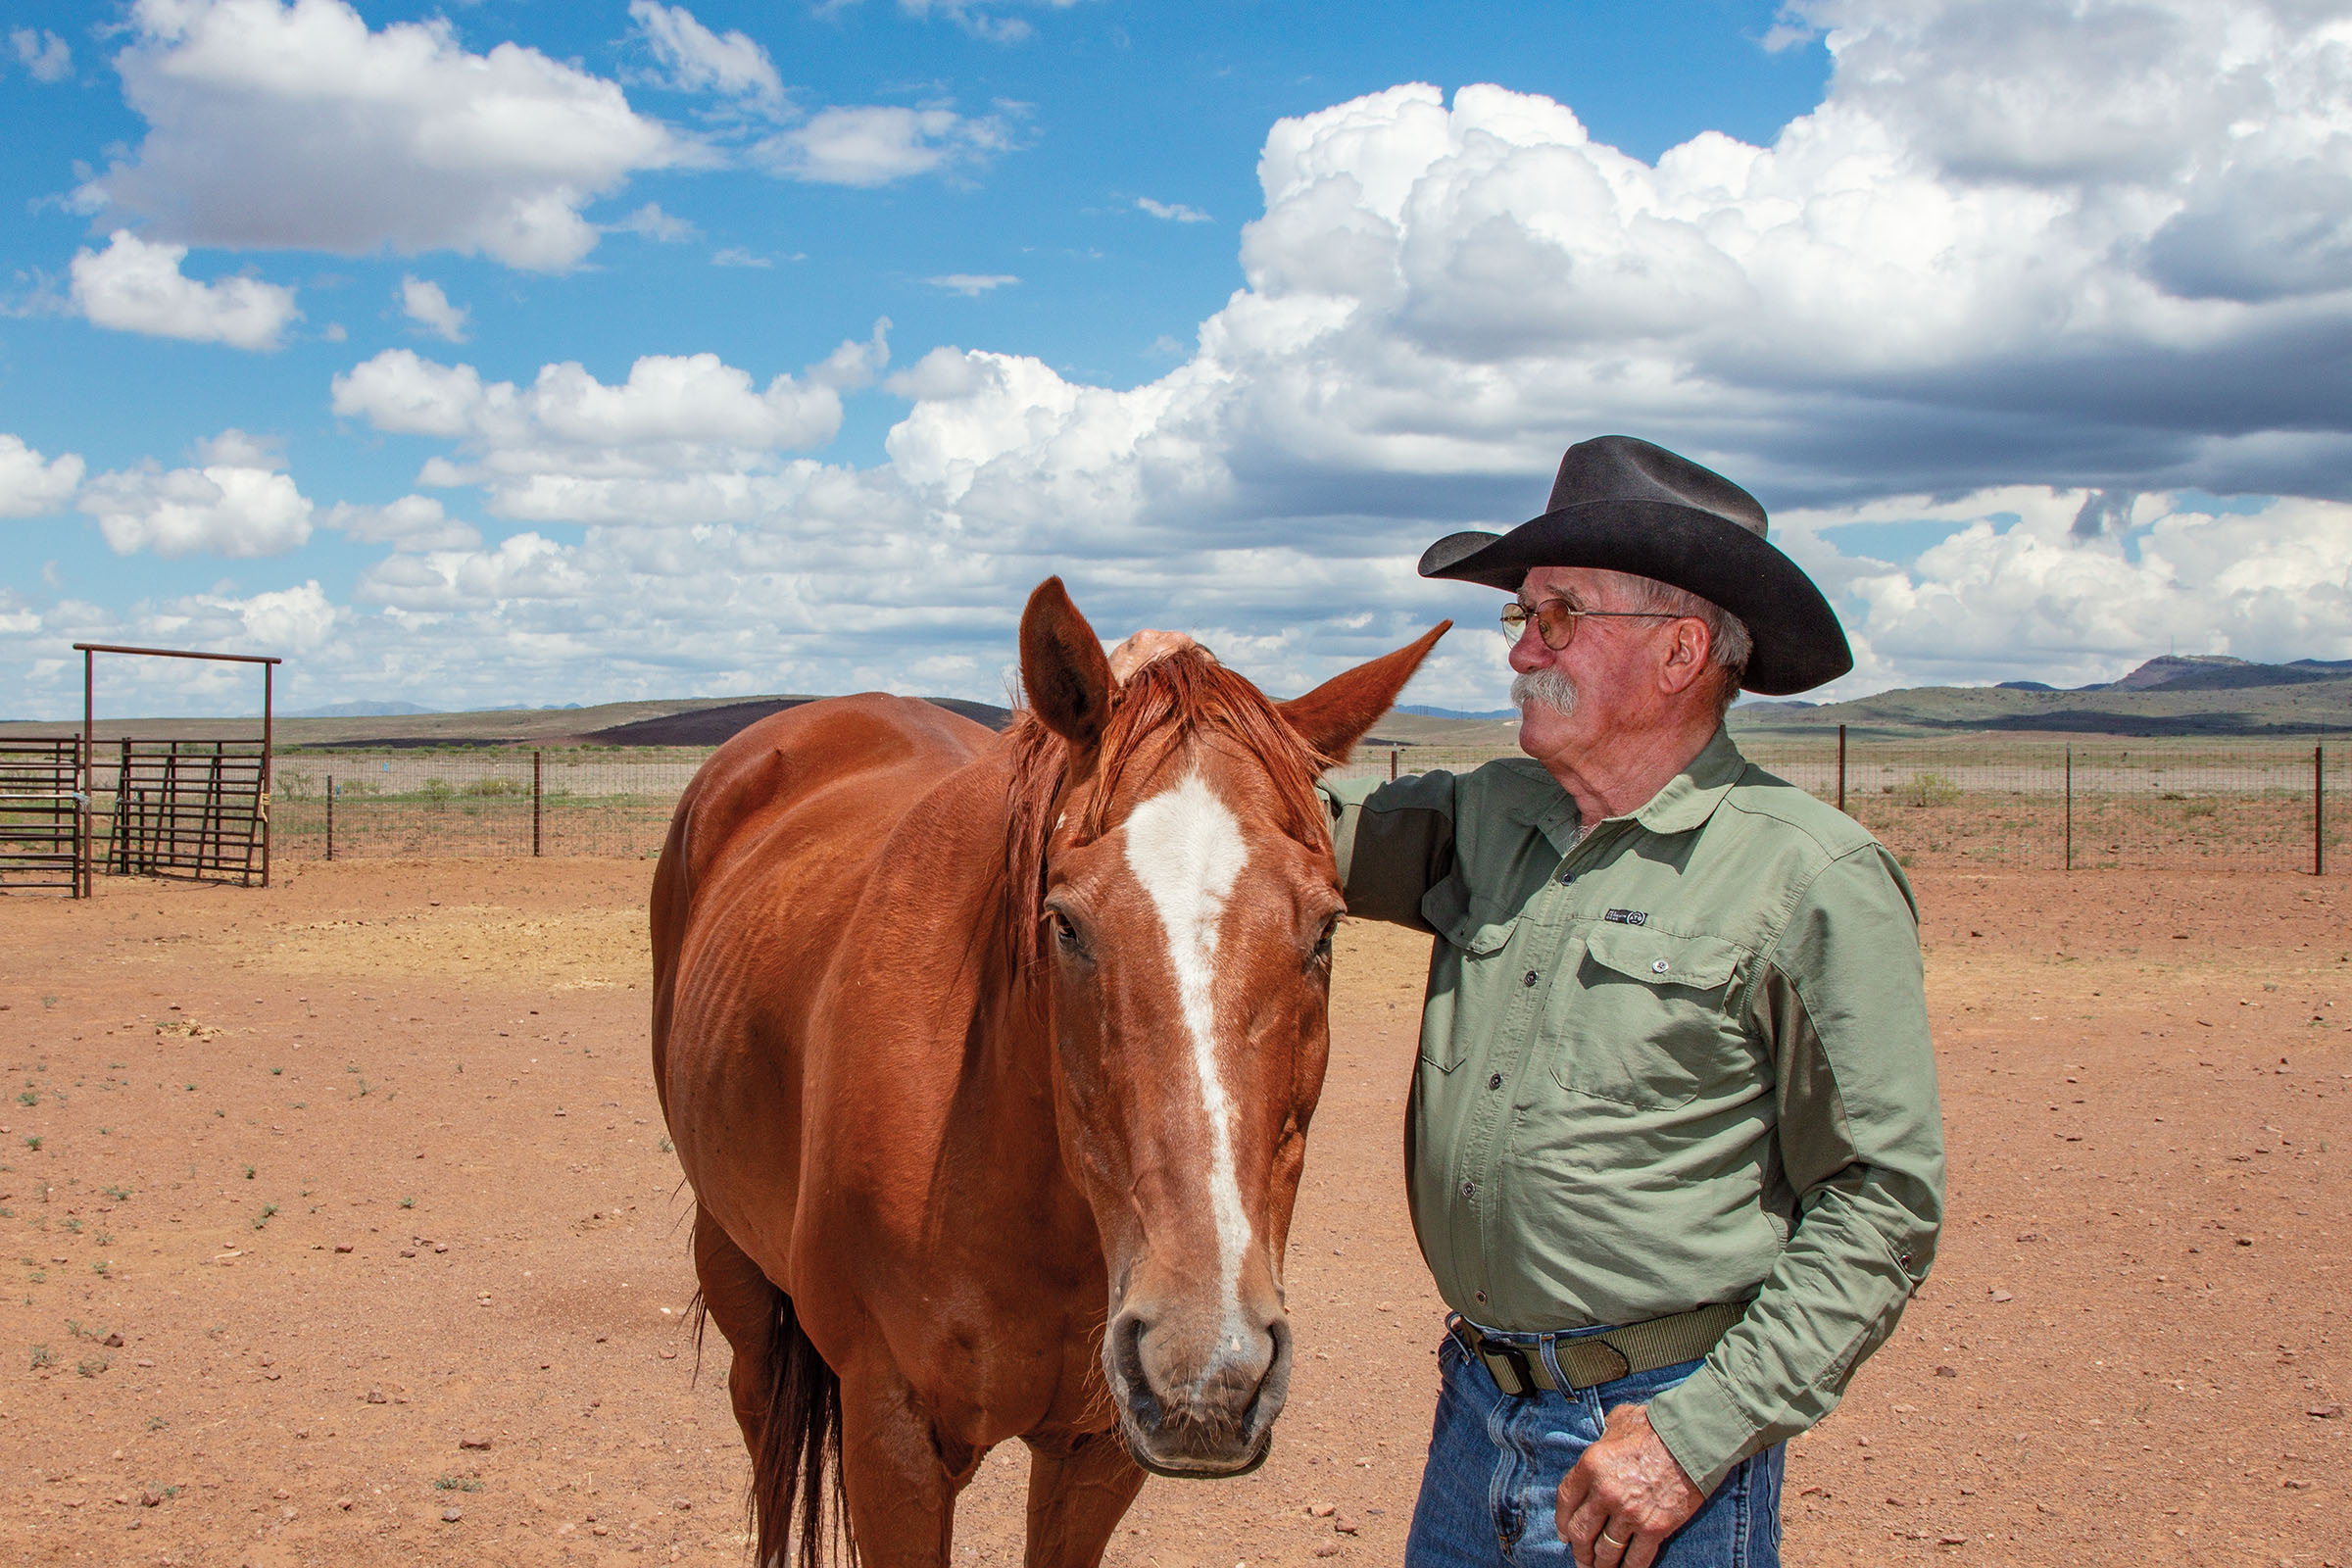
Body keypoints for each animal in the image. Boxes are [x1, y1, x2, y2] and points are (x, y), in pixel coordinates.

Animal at [654, 585, 1439, 1568]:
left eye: (1328, 927)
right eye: (1064, 922)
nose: (1207, 1369)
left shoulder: (1098, 1449)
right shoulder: (892, 1441)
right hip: (736, 1271)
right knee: (762, 1431)